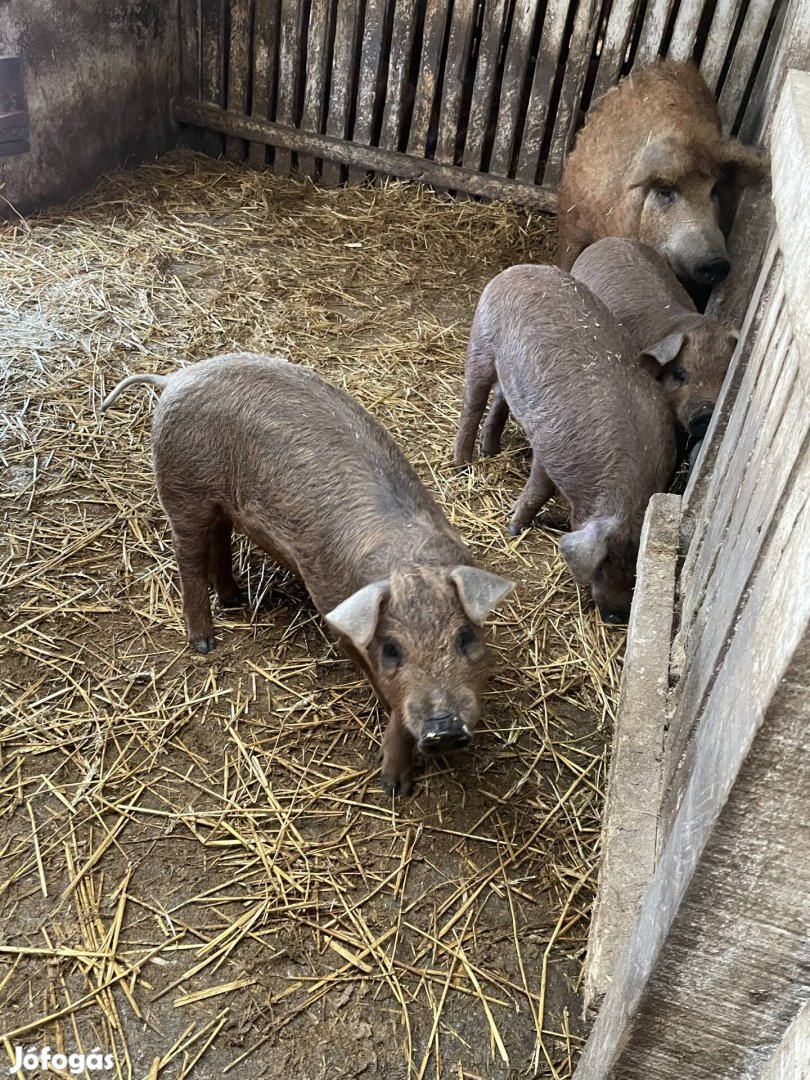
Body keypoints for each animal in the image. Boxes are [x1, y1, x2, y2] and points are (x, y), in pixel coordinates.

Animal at [103, 354, 514, 794]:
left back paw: (235, 600)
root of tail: (174, 377)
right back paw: (205, 643)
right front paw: (393, 788)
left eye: (467, 637)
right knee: (188, 557)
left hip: (220, 502)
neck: (409, 560)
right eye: (391, 649)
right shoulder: (337, 615)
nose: (445, 730)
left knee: (220, 538)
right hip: (183, 489)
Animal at [453, 265, 673, 626]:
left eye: (636, 573)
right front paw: (514, 527)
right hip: (481, 342)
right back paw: (461, 466)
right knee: (473, 403)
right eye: (602, 566)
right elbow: (538, 490)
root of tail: (515, 270)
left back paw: (491, 451)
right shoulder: (548, 446)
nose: (617, 617)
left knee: (500, 397)